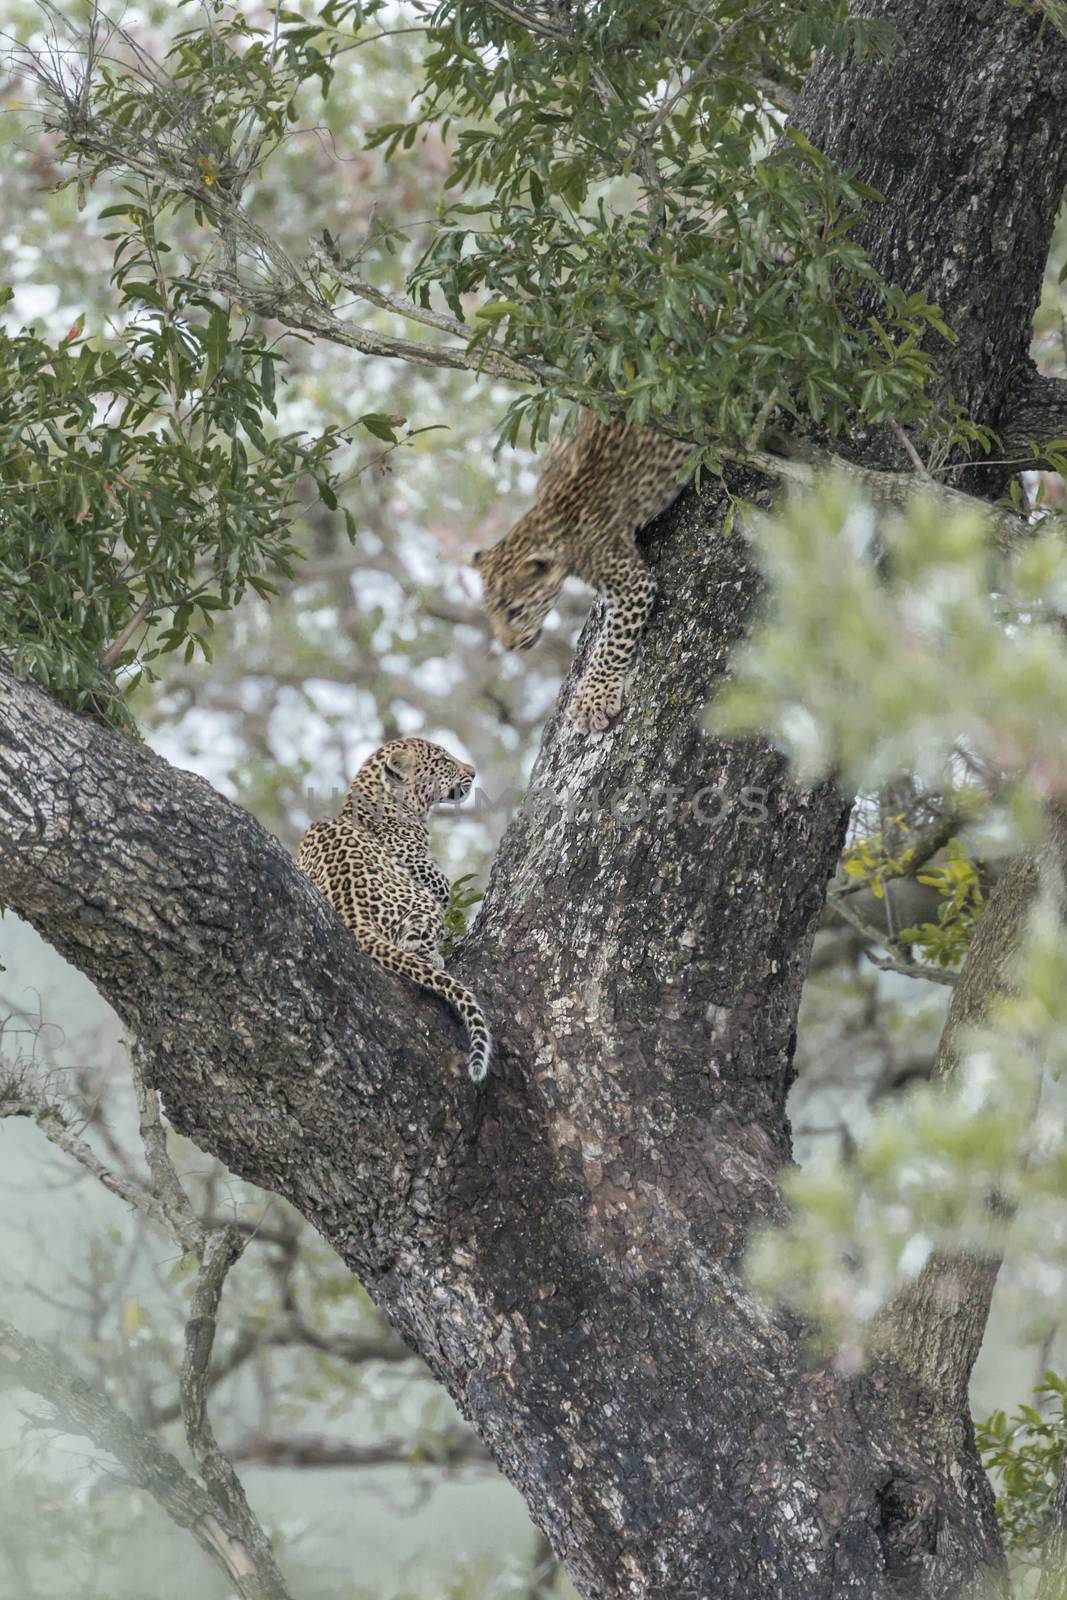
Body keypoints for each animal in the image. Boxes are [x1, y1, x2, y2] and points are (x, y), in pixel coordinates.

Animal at [292, 736, 492, 1088]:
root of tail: (353, 915)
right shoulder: (421, 870)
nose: (472, 771)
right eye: (443, 760)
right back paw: (434, 958)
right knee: (412, 946)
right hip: (420, 903)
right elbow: (445, 887)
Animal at [470, 412, 687, 736]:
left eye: (514, 612)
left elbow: (611, 644)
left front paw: (592, 700)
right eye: (491, 614)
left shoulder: (632, 582)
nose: (508, 646)